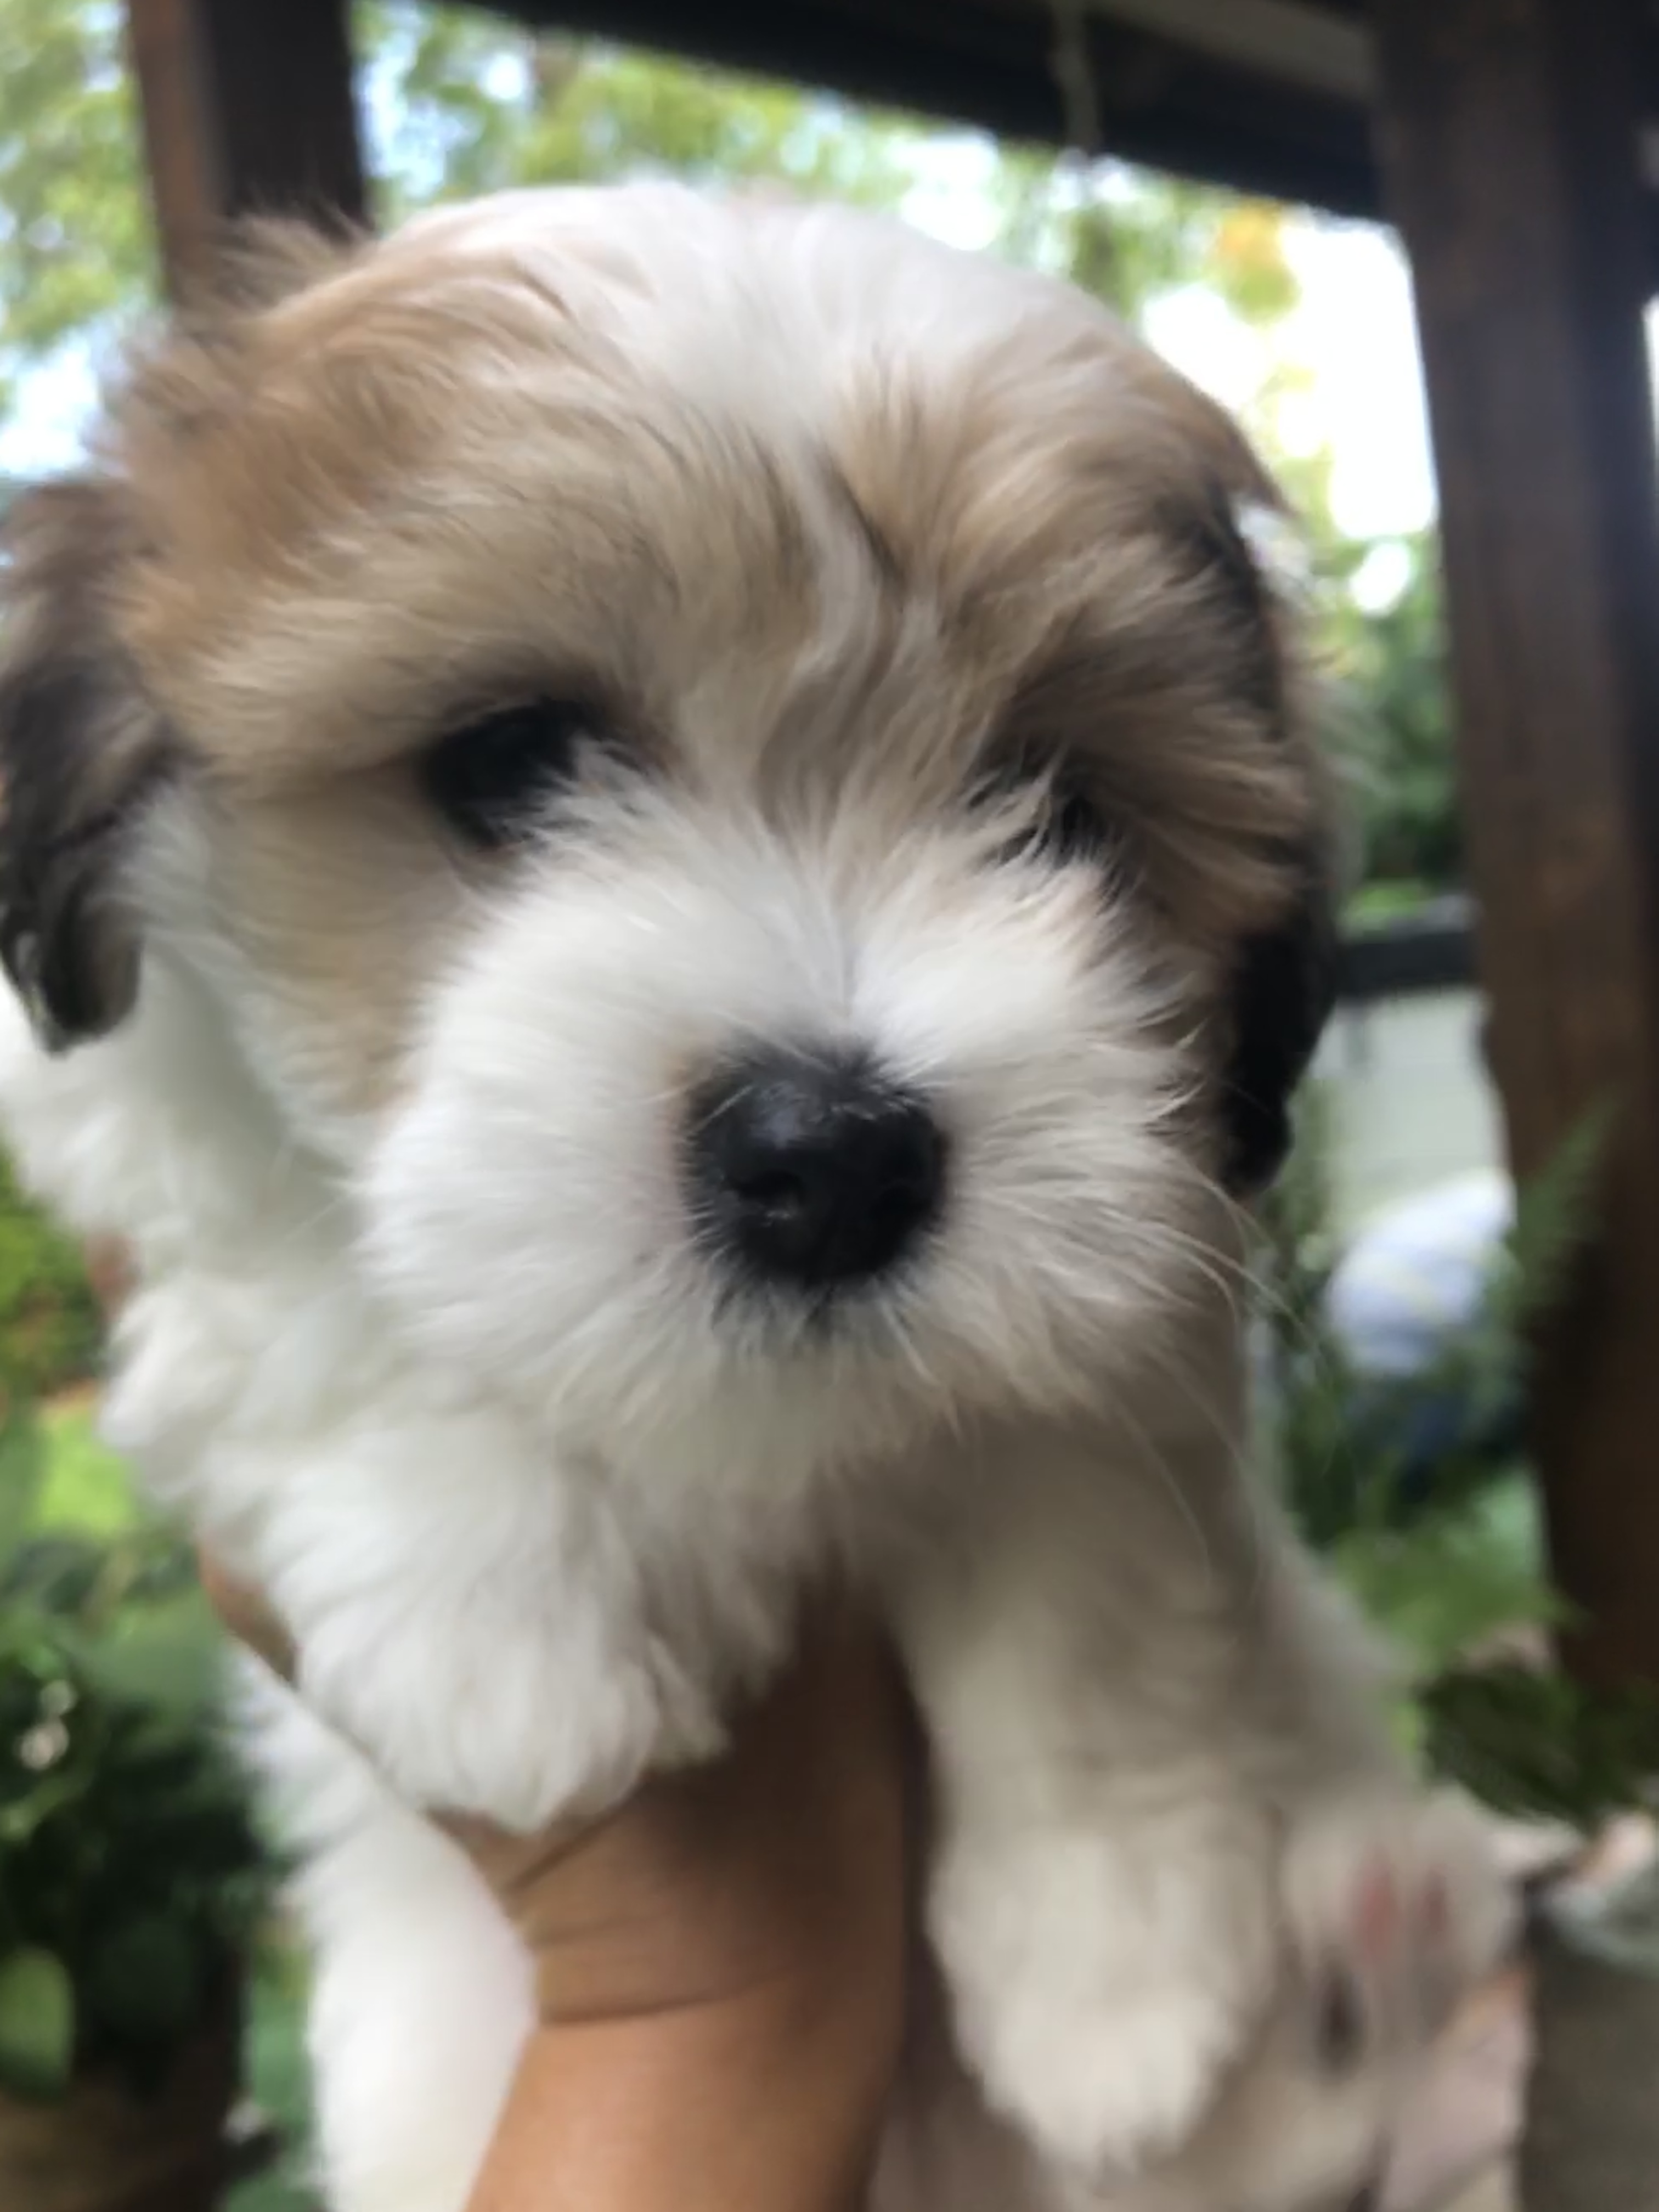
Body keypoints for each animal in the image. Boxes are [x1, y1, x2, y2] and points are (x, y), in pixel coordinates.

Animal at [0, 185, 1508, 2212]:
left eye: (1053, 805)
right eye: (513, 759)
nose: (835, 1152)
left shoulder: (1127, 1293)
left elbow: (1087, 1607)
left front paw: (1108, 1975)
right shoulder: (144, 1127)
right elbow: (318, 1294)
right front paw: (500, 1632)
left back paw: (1360, 1958)